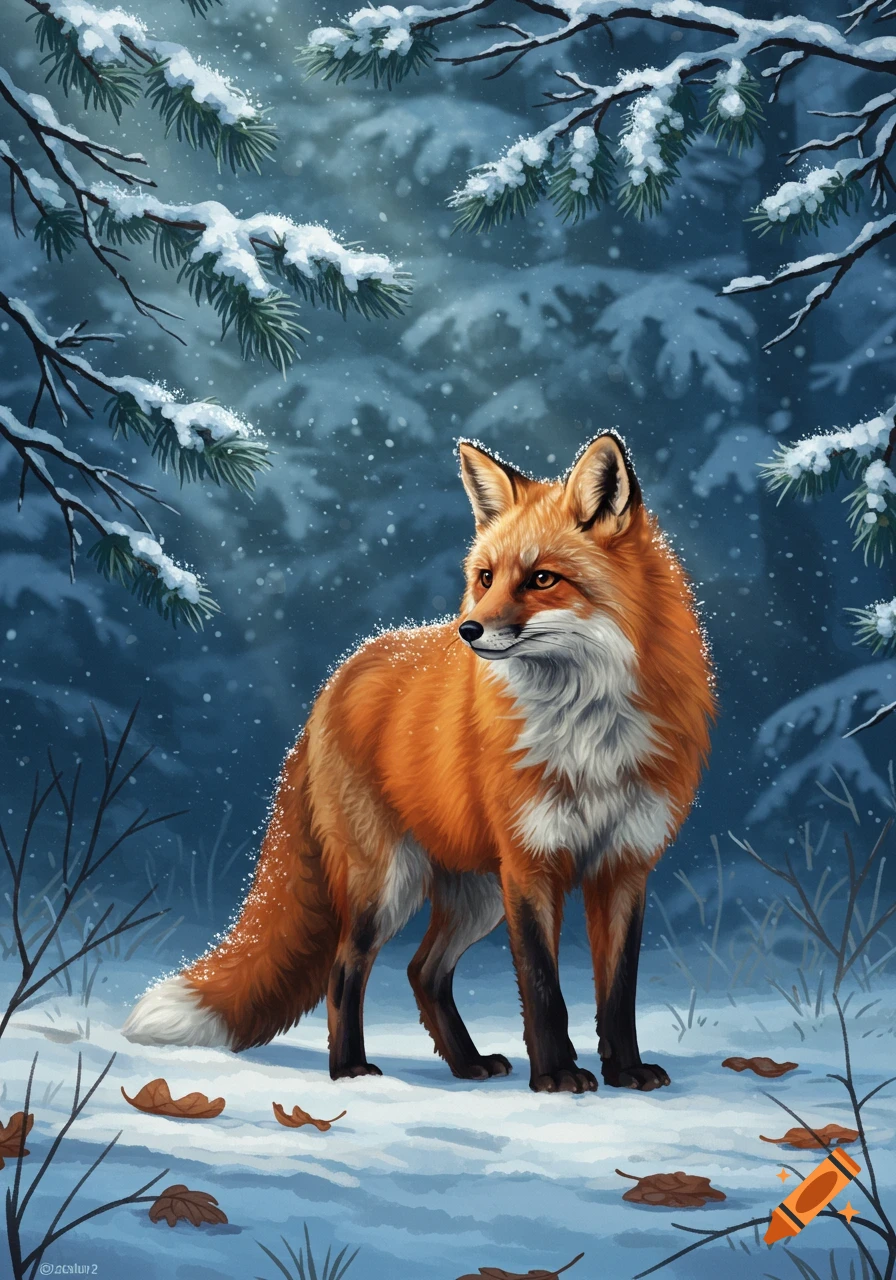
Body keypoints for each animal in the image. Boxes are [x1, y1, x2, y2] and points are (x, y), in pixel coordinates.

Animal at [124, 433, 714, 1094]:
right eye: (485, 577)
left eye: (542, 579)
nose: (469, 630)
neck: (588, 731)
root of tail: (339, 675)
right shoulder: (531, 864)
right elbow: (544, 989)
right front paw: (557, 1076)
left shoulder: (624, 866)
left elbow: (618, 992)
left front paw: (625, 1070)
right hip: (388, 885)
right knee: (345, 971)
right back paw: (350, 1070)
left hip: (476, 895)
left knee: (422, 971)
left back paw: (467, 1064)